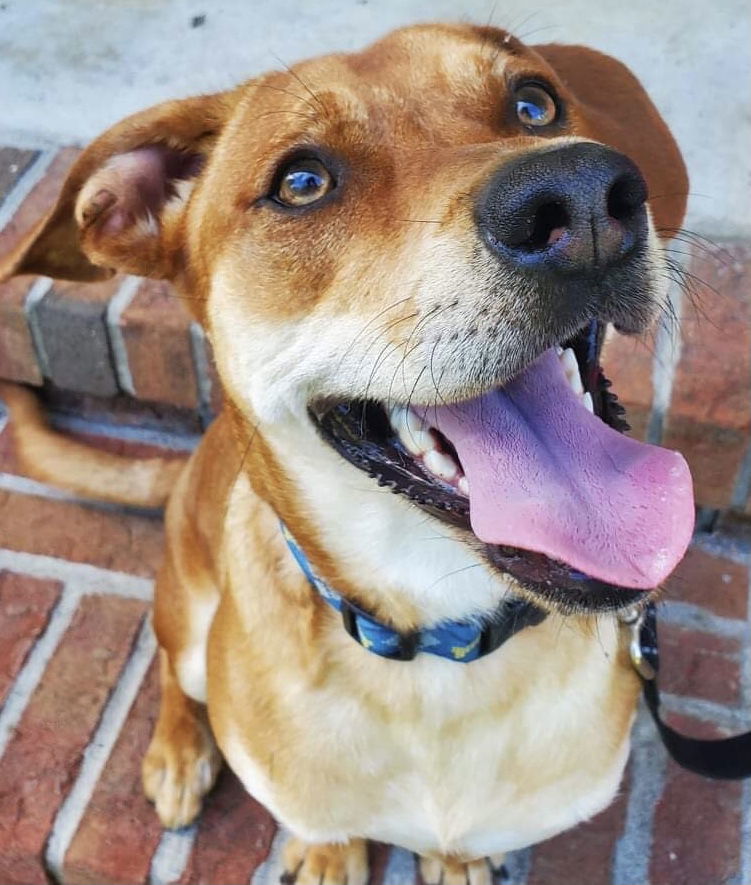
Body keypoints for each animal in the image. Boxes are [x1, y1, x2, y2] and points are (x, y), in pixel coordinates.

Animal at [1, 24, 692, 884]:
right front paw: (326, 853)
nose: (581, 195)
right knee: (168, 661)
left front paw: (458, 860)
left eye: (533, 103)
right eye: (301, 182)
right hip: (188, 617)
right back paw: (177, 752)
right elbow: (321, 824)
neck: (436, 649)